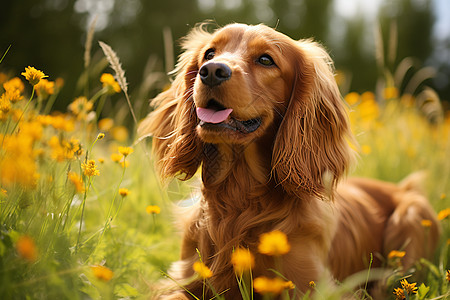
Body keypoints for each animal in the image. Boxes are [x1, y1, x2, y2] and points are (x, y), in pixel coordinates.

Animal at [138, 22, 440, 298]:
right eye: (209, 54)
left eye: (265, 60)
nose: (211, 71)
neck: (240, 197)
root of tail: (401, 186)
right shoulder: (182, 281)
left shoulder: (313, 286)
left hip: (411, 217)